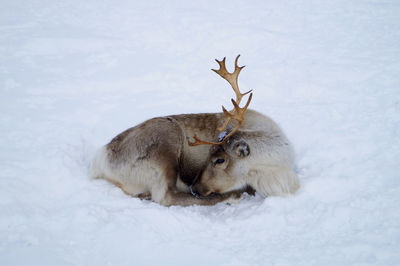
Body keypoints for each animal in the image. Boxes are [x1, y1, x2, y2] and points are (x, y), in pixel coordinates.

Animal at [90, 55, 296, 206]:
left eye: (219, 160)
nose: (195, 188)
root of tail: (101, 157)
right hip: (166, 142)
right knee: (166, 196)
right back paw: (232, 196)